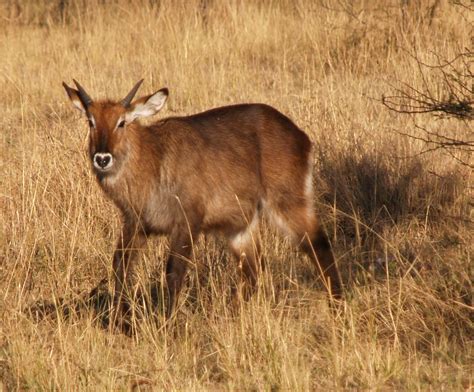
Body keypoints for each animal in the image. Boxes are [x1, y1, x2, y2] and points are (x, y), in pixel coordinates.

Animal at [63, 79, 342, 324]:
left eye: (121, 122)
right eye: (90, 121)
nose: (102, 158)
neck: (153, 158)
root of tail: (301, 136)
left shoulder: (187, 222)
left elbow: (173, 273)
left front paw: (167, 325)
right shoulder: (136, 224)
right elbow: (120, 268)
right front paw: (119, 323)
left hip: (288, 203)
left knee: (319, 246)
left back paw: (337, 307)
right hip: (240, 226)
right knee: (253, 271)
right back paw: (229, 318)